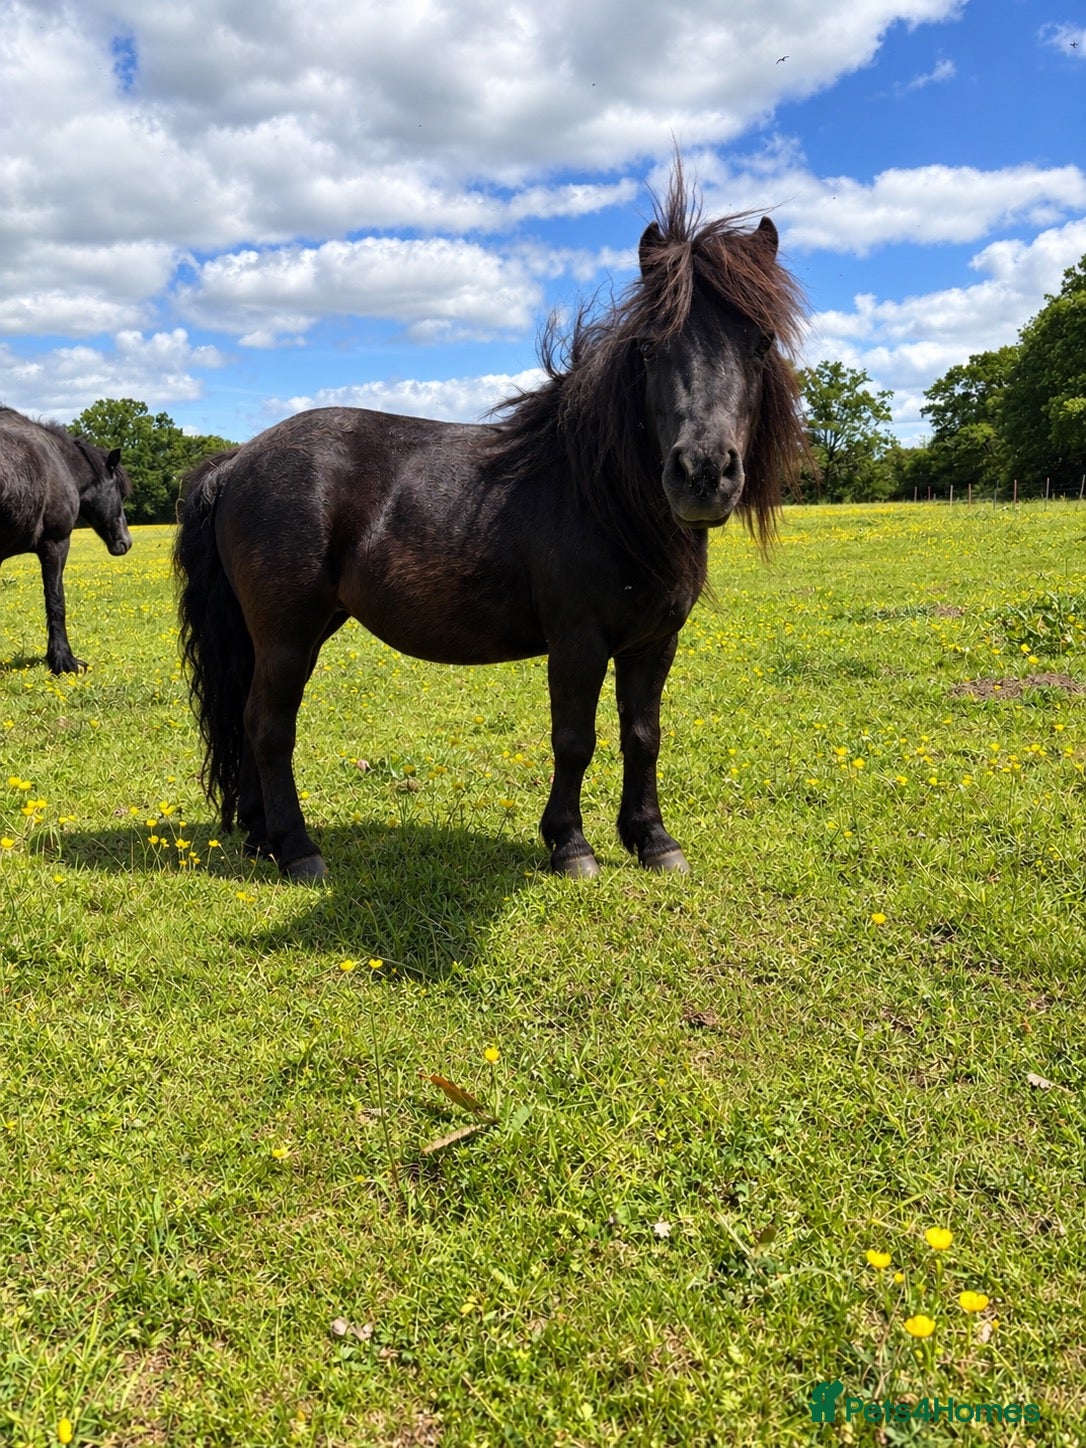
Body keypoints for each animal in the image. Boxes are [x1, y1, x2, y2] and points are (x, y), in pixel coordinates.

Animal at [175, 173, 808, 881]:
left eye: (759, 342)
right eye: (649, 348)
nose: (702, 471)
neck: (600, 496)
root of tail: (238, 459)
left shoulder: (654, 642)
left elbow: (643, 736)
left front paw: (653, 839)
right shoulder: (577, 640)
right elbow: (574, 737)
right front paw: (571, 845)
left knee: (247, 719)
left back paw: (261, 838)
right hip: (287, 634)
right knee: (268, 725)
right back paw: (298, 850)